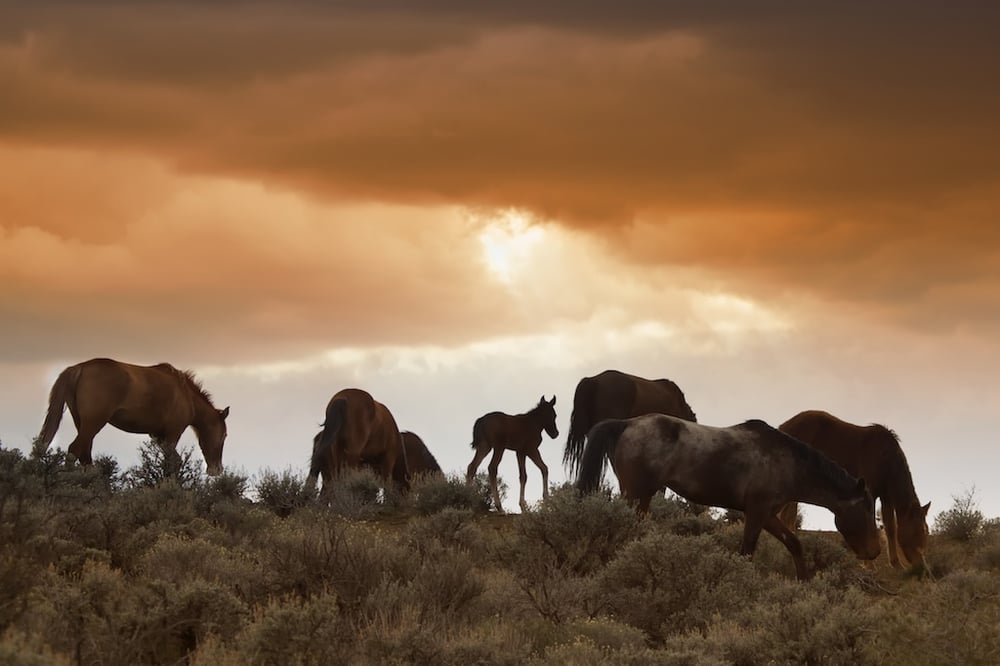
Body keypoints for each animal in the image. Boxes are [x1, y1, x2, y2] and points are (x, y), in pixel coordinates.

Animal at [35, 358, 229, 472]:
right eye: (225, 435)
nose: (217, 470)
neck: (186, 394)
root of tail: (79, 368)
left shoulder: (158, 436)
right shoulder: (173, 433)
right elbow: (172, 462)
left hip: (82, 424)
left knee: (85, 456)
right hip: (93, 423)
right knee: (74, 451)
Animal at [576, 412, 880, 580]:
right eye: (866, 510)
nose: (875, 552)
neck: (786, 462)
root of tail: (626, 424)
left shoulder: (766, 514)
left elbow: (794, 544)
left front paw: (804, 583)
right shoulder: (757, 513)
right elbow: (746, 553)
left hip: (642, 496)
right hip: (635, 493)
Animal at [776, 410, 932, 564]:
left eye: (925, 531)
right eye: (917, 531)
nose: (920, 565)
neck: (885, 459)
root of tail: (783, 426)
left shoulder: (886, 497)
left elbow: (890, 528)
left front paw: (896, 564)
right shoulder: (869, 493)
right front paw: (869, 562)